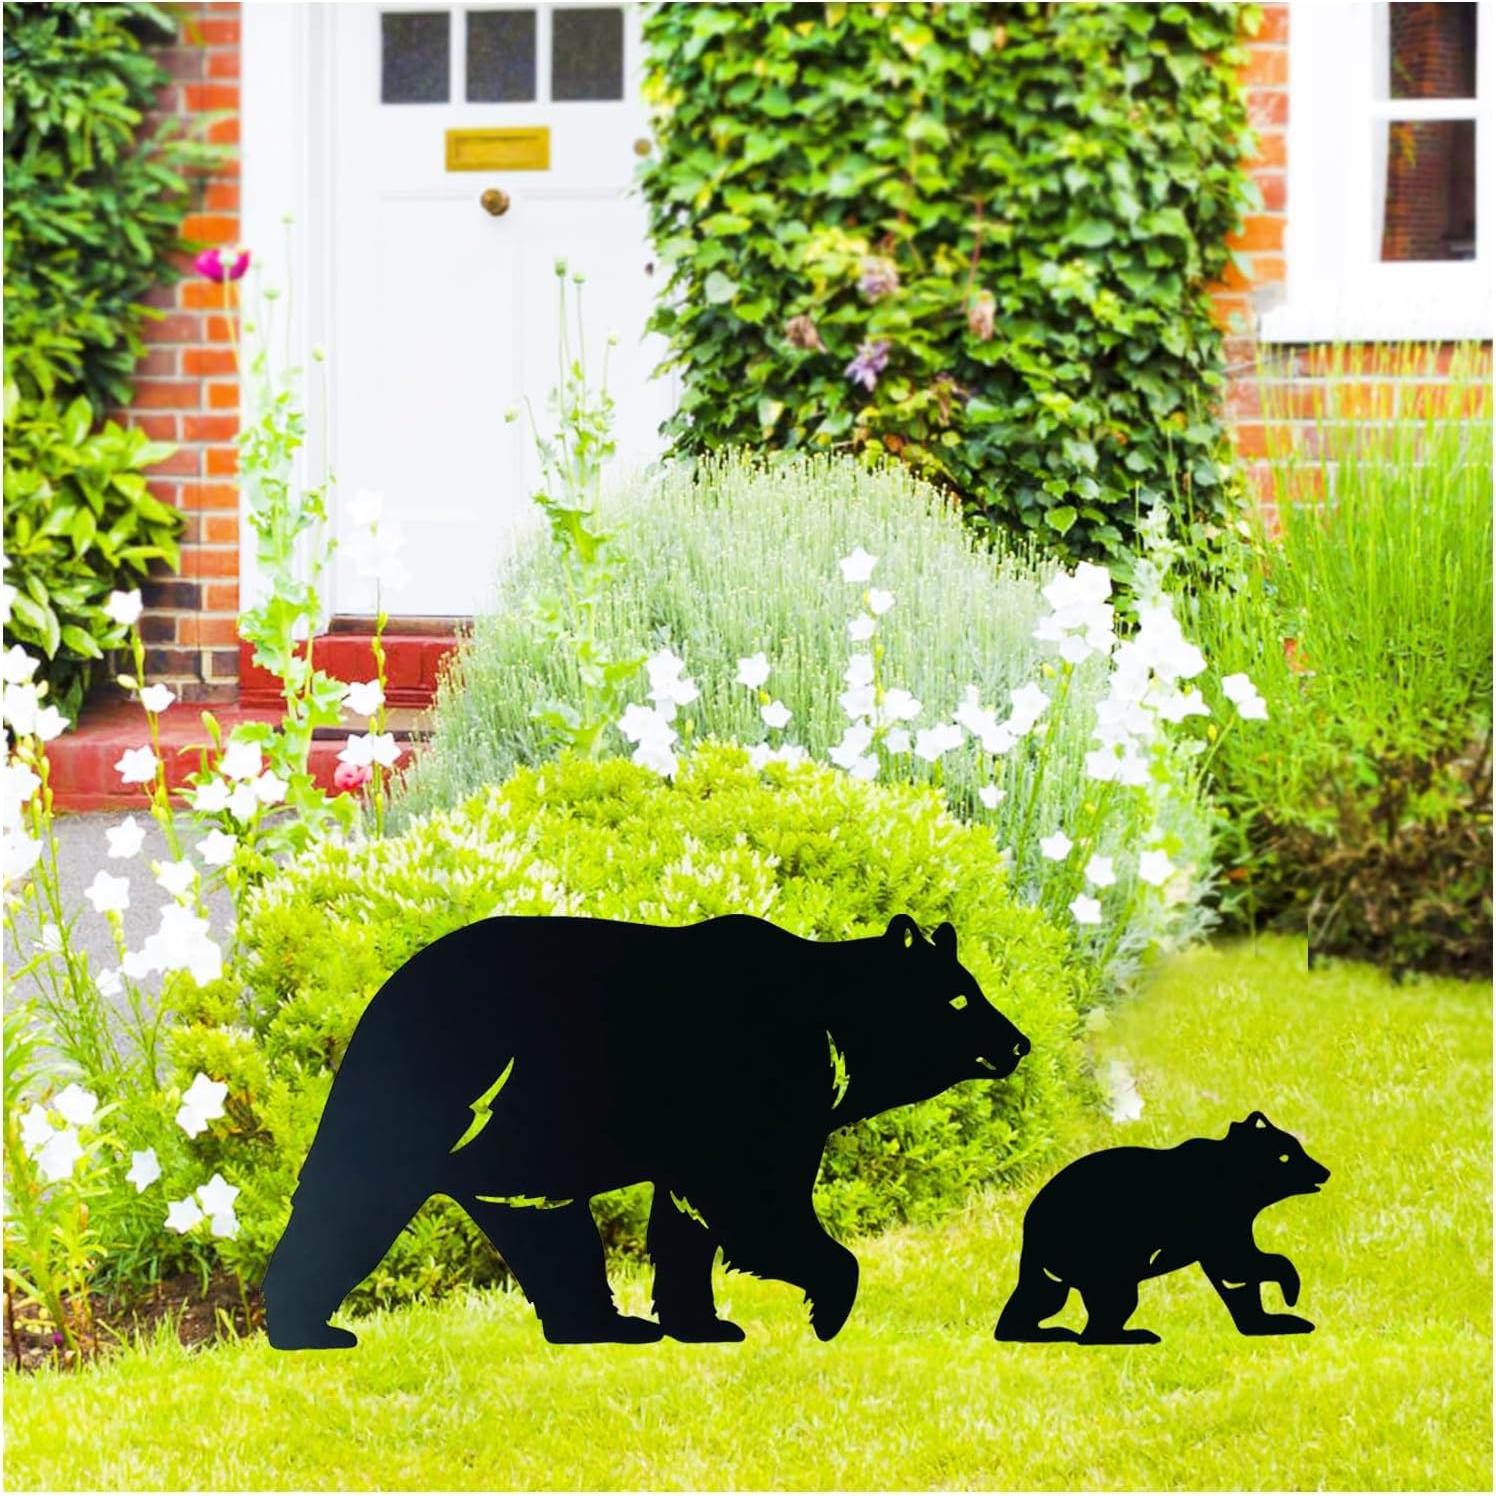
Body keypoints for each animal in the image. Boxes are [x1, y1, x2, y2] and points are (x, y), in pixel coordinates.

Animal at [262, 912, 1029, 1349]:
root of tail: (380, 999)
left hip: (514, 1136)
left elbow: (691, 1219)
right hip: (452, 1094)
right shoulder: (756, 1087)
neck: (835, 1031)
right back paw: (307, 1331)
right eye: (961, 998)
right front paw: (829, 1306)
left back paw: (603, 1326)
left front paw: (705, 1323)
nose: (1018, 1042)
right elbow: (757, 1205)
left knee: (545, 1225)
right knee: (355, 1198)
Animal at [993, 1111, 1329, 1345]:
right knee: (1111, 1300)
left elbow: (1236, 1277)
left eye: (1297, 1147)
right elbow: (1237, 1264)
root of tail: (1030, 1222)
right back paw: (1133, 1334)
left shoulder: (1230, 1222)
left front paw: (1273, 1320)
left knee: (1040, 1296)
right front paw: (1291, 1291)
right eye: (1285, 1155)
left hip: (1048, 1267)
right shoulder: (1215, 1218)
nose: (1324, 1171)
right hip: (1103, 1252)